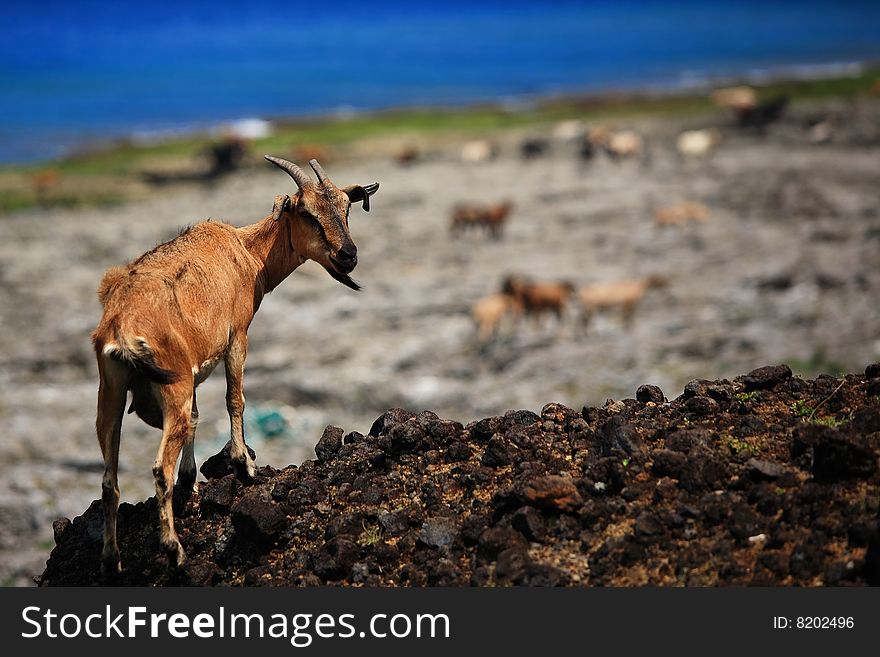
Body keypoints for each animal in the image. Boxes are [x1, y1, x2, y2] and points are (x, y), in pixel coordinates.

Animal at [92, 156, 378, 572]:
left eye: (346, 206)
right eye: (306, 211)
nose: (348, 255)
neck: (247, 252)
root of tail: (121, 326)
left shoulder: (194, 373)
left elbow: (198, 419)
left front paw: (192, 480)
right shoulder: (237, 337)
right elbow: (234, 399)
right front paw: (245, 465)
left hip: (111, 394)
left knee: (109, 480)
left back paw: (111, 558)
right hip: (171, 387)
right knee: (159, 467)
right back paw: (173, 549)